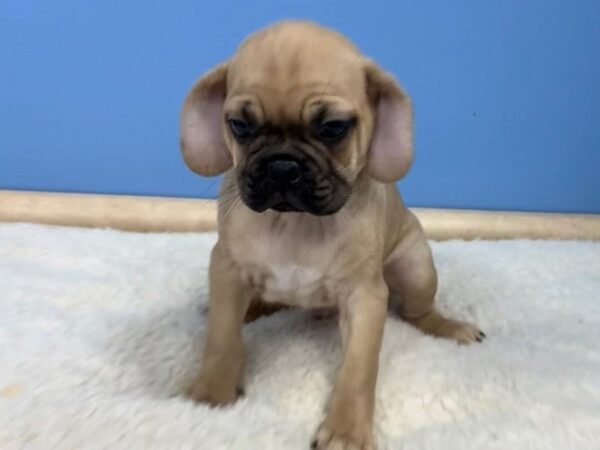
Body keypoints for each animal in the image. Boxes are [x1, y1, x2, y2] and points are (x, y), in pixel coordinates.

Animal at [179, 21, 482, 450]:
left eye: (333, 128)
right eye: (240, 126)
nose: (282, 165)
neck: (296, 222)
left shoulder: (365, 298)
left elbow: (358, 370)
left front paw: (347, 431)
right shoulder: (227, 270)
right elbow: (222, 340)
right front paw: (210, 396)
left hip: (417, 270)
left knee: (417, 312)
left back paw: (449, 328)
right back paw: (252, 309)